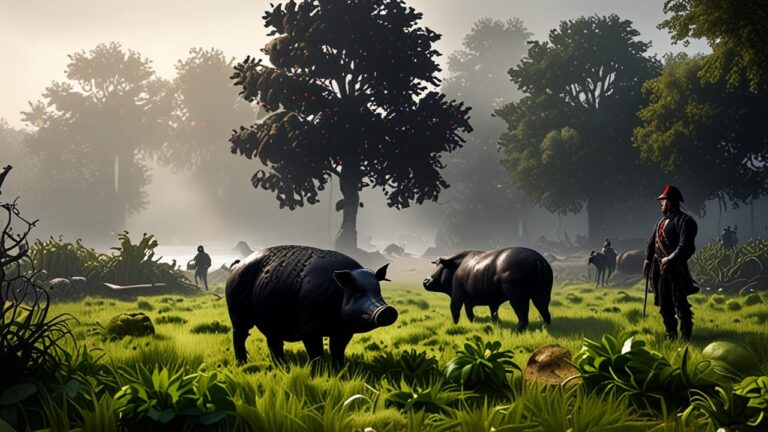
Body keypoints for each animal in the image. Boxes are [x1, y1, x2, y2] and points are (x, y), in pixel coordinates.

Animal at [225, 245, 397, 365]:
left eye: (378, 291)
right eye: (358, 292)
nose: (387, 309)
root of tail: (236, 266)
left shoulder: (344, 331)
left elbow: (337, 351)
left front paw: (339, 371)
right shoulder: (308, 328)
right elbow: (316, 353)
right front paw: (318, 375)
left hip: (270, 320)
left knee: (273, 342)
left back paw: (283, 366)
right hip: (237, 313)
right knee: (239, 336)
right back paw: (242, 364)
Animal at [423, 247, 552, 331]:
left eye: (441, 265)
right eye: (436, 264)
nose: (426, 280)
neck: (458, 266)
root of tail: (536, 259)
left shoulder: (457, 296)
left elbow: (455, 310)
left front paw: (455, 324)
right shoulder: (475, 300)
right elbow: (483, 313)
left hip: (517, 298)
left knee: (523, 315)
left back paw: (518, 330)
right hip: (542, 295)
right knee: (545, 312)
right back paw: (545, 327)